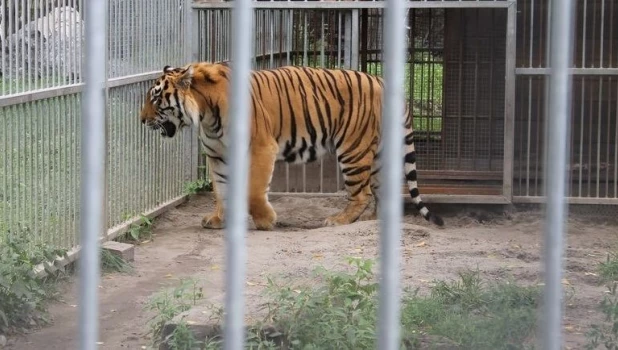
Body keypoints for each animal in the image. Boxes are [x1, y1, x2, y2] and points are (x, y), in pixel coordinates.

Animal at [138, 61, 442, 231]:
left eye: (155, 98)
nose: (141, 120)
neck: (205, 114)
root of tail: (380, 80)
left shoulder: (261, 148)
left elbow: (253, 191)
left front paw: (265, 221)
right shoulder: (219, 155)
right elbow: (221, 191)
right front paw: (218, 220)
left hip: (353, 148)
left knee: (362, 193)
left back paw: (339, 220)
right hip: (377, 152)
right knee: (380, 191)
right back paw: (372, 221)